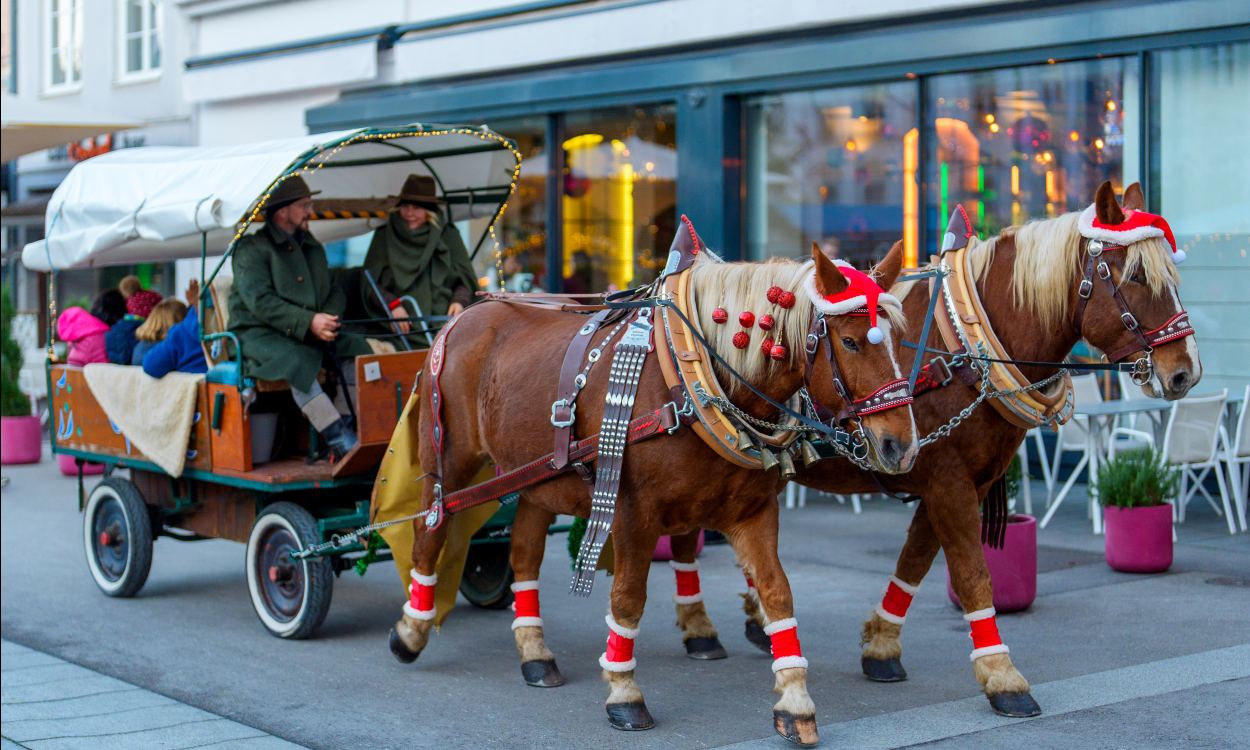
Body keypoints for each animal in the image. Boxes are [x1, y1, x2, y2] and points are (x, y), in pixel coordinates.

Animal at [390, 240, 920, 745]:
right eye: (850, 342)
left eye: (900, 339)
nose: (900, 445)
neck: (692, 382)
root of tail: (464, 316)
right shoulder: (632, 513)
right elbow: (628, 598)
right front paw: (624, 693)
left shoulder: (753, 512)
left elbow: (777, 593)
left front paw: (794, 702)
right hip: (449, 461)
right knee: (430, 530)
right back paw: (411, 629)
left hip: (538, 479)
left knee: (523, 553)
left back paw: (534, 652)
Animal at [665, 180, 1200, 715]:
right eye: (1135, 276)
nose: (1185, 371)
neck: (965, 347)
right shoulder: (948, 482)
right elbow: (971, 573)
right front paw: (1003, 676)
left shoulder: (955, 480)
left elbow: (916, 561)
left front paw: (882, 644)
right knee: (684, 538)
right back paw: (700, 629)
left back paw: (753, 620)